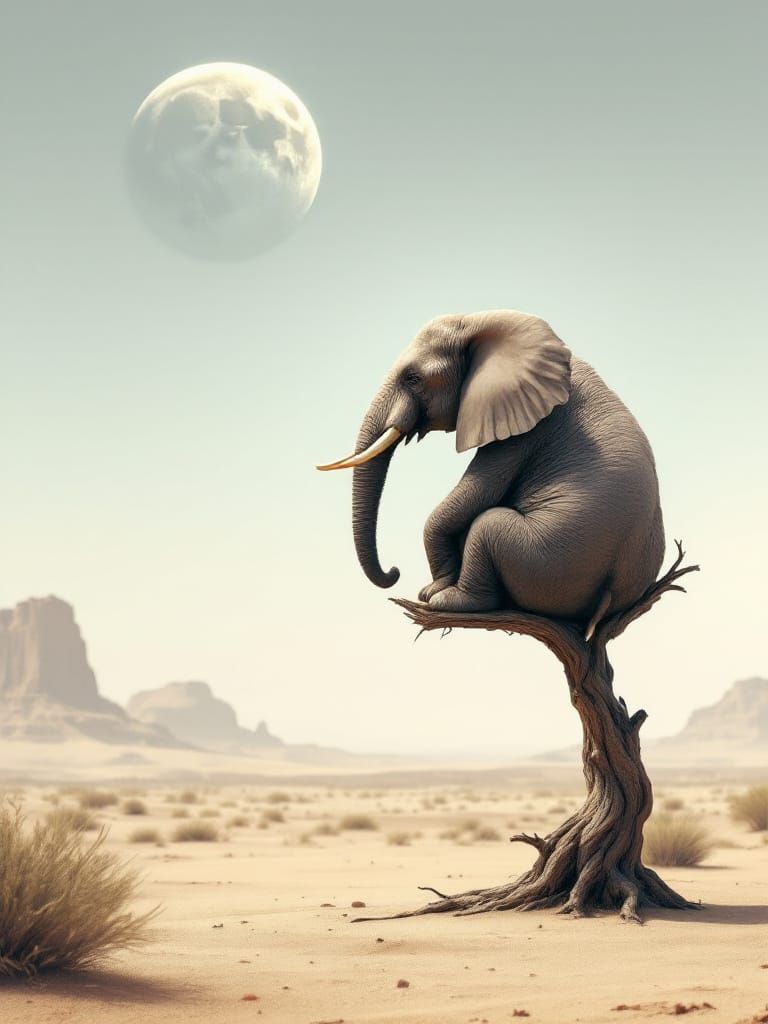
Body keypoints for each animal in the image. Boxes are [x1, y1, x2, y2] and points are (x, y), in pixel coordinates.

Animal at [318, 309, 665, 639]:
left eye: (413, 378)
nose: (394, 572)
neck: (478, 322)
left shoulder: (524, 428)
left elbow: (470, 497)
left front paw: (431, 592)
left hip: (552, 560)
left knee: (490, 524)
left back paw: (451, 601)